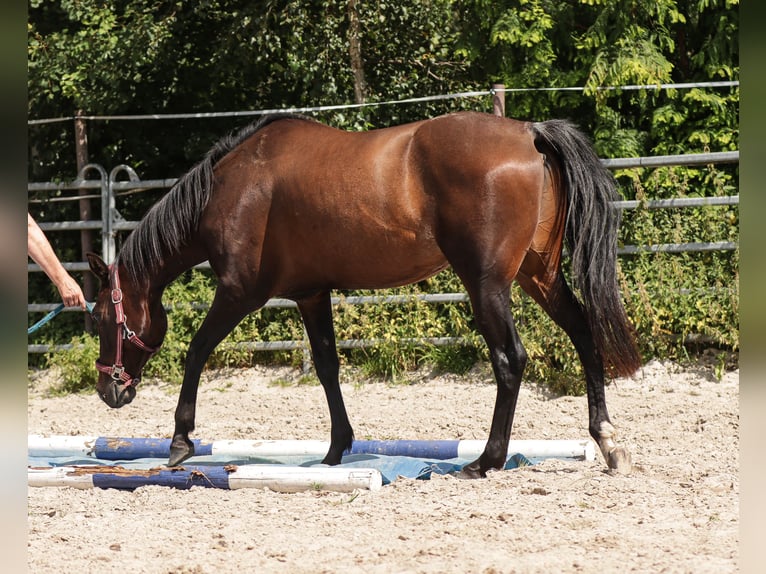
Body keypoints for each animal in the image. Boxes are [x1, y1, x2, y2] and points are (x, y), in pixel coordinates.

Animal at [87, 111, 641, 478]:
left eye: (102, 320)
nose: (109, 391)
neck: (235, 186)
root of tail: (529, 134)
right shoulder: (311, 295)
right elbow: (327, 366)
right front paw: (336, 450)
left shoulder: (239, 293)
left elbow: (197, 351)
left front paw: (179, 442)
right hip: (537, 276)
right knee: (584, 334)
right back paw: (607, 439)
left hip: (487, 286)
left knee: (511, 360)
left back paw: (486, 460)